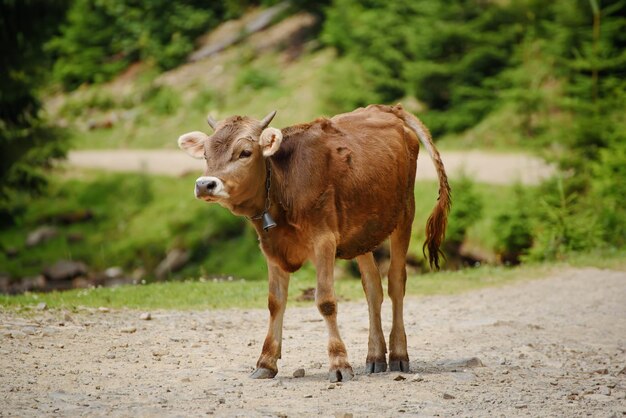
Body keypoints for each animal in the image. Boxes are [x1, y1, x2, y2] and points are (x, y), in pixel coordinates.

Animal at [177, 103, 448, 382]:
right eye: (206, 154)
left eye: (245, 152)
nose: (205, 184)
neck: (285, 184)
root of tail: (387, 108)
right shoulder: (271, 246)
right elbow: (275, 302)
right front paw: (266, 362)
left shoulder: (324, 241)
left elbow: (326, 301)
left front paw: (339, 363)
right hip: (363, 231)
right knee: (373, 287)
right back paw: (374, 356)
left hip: (404, 215)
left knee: (396, 282)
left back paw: (398, 354)